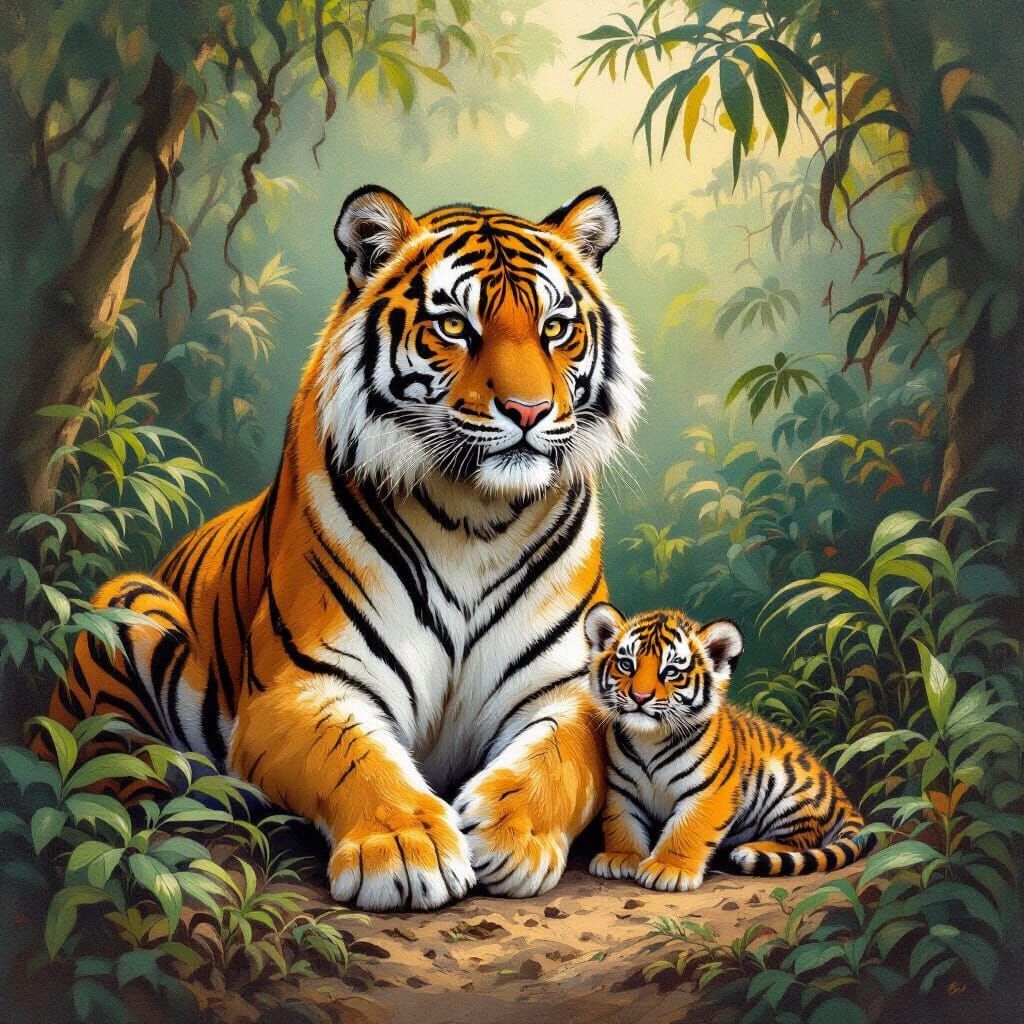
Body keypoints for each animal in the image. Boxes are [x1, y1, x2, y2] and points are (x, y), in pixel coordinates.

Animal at [38, 185, 644, 911]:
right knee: (100, 767)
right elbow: (355, 759)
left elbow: (556, 762)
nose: (528, 411)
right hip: (125, 602)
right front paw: (404, 848)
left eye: (555, 328)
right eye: (454, 326)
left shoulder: (571, 689)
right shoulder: (304, 687)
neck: (475, 517)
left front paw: (511, 834)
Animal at [583, 604, 873, 891]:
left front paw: (669, 868)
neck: (648, 739)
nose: (639, 697)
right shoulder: (622, 787)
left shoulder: (710, 791)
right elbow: (621, 822)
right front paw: (621, 857)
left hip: (790, 796)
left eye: (671, 671)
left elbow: (686, 830)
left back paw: (749, 850)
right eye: (626, 664)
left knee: (802, 839)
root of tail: (842, 796)